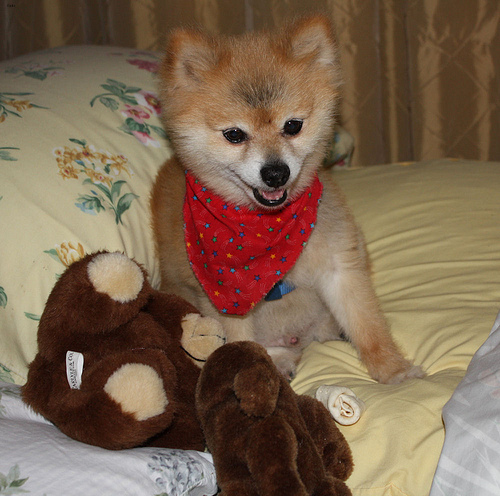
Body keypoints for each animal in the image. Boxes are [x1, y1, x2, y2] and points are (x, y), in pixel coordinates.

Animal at [151, 15, 424, 383]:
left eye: (293, 126)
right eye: (234, 135)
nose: (276, 172)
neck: (264, 232)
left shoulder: (340, 268)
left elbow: (367, 326)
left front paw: (393, 370)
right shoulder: (226, 300)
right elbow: (239, 345)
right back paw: (280, 360)